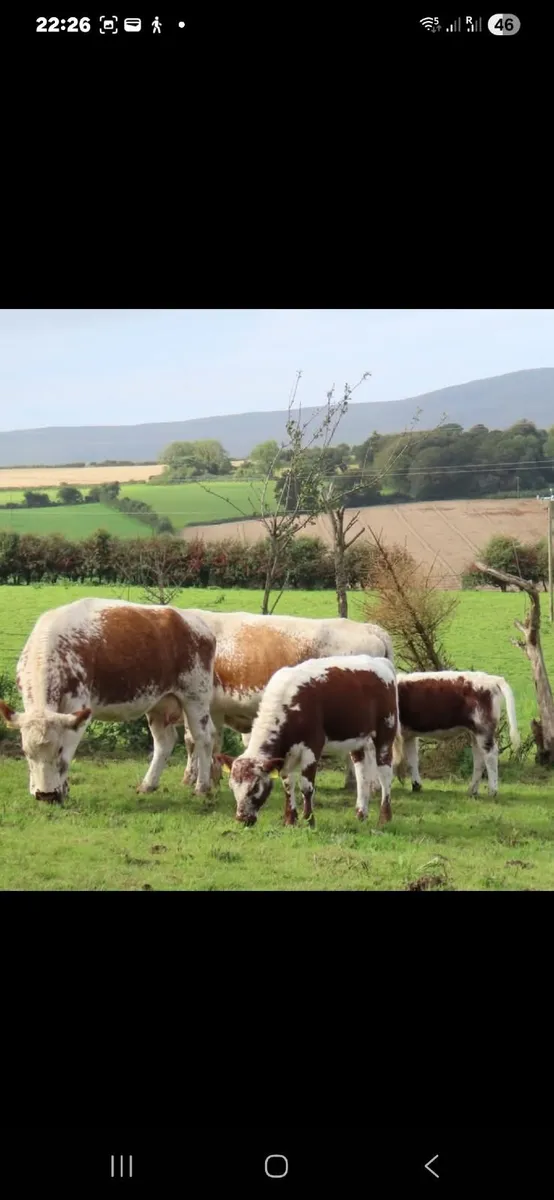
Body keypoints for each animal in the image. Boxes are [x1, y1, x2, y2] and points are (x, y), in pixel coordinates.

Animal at [0, 598, 217, 803]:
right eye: (26, 752)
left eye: (58, 749)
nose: (45, 795)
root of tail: (196, 622)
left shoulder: (78, 708)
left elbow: (68, 755)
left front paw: (63, 790)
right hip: (159, 703)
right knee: (165, 741)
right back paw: (148, 784)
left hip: (196, 697)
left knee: (203, 738)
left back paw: (202, 787)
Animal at [218, 654, 399, 829]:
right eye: (231, 786)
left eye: (255, 786)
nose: (241, 818)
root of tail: (379, 661)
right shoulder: (285, 754)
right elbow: (288, 785)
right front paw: (290, 821)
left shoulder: (312, 748)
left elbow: (306, 786)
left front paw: (309, 821)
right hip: (358, 739)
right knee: (362, 774)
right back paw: (361, 814)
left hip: (386, 731)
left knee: (385, 773)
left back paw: (385, 818)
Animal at [392, 670, 520, 797]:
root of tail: (493, 679)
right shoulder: (409, 735)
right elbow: (412, 760)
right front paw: (416, 786)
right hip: (475, 732)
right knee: (479, 758)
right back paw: (472, 790)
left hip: (483, 729)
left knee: (490, 755)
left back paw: (492, 791)